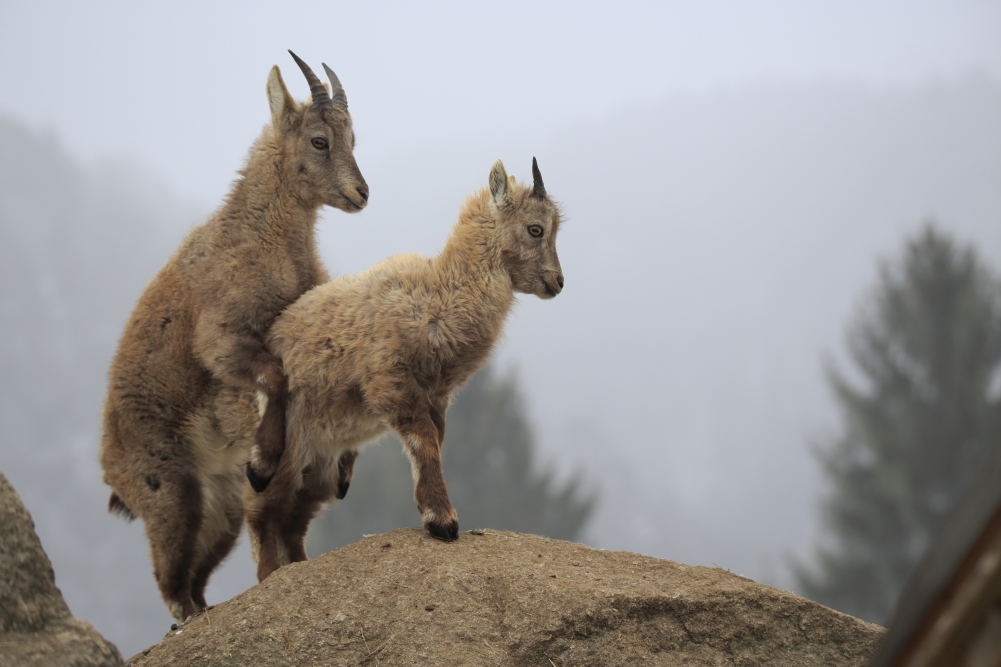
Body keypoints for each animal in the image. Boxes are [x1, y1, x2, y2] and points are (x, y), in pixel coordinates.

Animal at [98, 50, 368, 616]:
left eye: (354, 139)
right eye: (319, 140)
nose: (361, 193)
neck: (265, 237)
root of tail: (108, 465)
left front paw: (342, 469)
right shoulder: (221, 338)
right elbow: (273, 375)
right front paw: (264, 460)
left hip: (217, 511)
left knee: (195, 583)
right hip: (169, 492)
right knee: (173, 586)